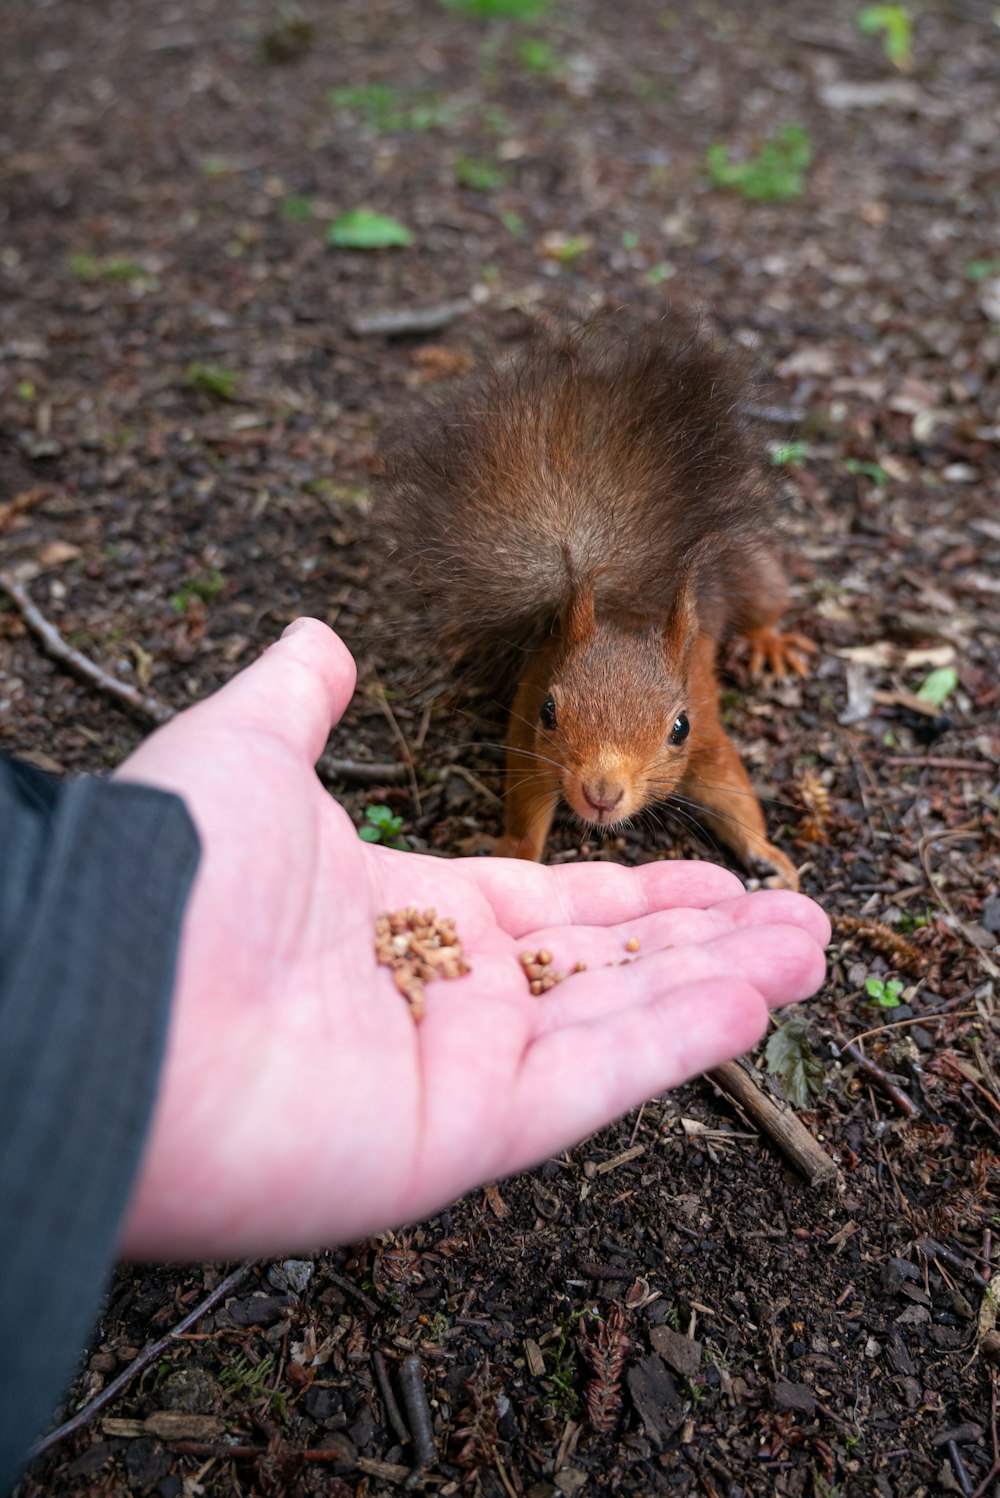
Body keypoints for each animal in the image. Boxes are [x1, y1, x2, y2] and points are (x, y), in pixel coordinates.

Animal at [378, 310, 814, 880]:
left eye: (680, 728)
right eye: (549, 711)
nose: (601, 794)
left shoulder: (707, 735)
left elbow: (732, 789)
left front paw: (768, 854)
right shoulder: (529, 728)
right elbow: (527, 795)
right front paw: (515, 847)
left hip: (754, 571)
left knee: (765, 606)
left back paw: (770, 643)